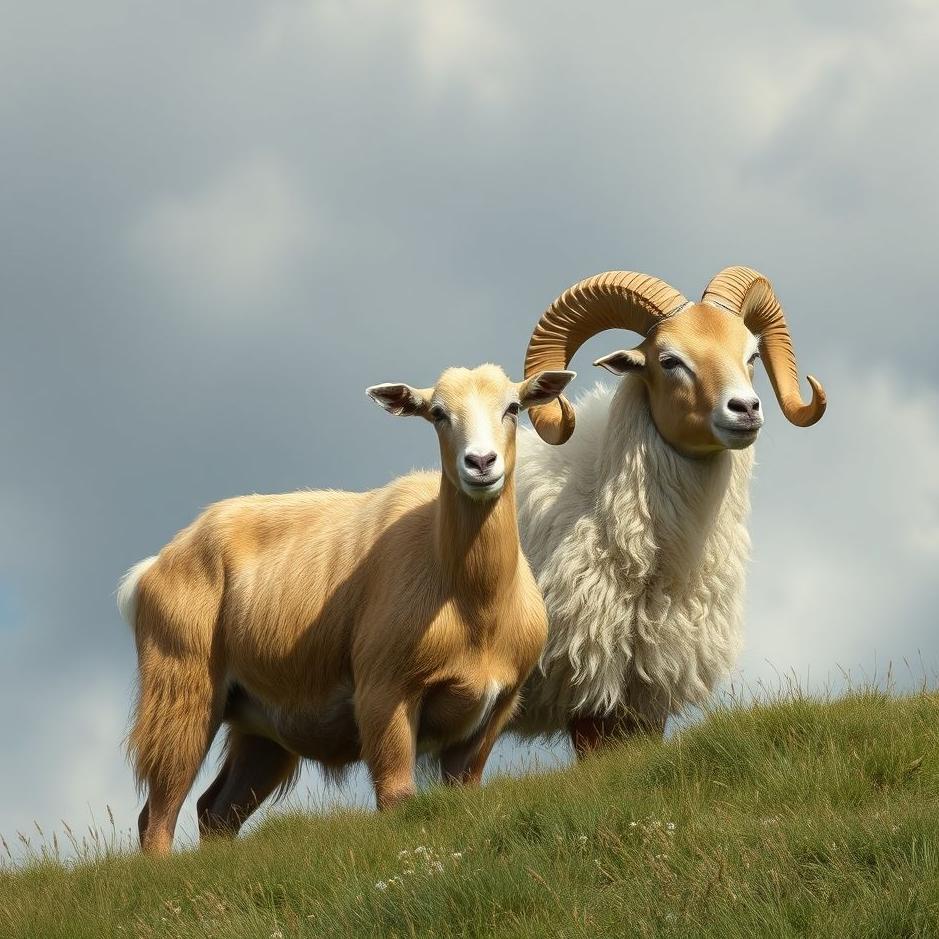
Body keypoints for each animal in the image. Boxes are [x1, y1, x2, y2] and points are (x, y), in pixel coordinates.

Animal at [117, 363, 574, 855]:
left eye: (513, 408)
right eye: (437, 414)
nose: (481, 463)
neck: (473, 605)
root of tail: (155, 565)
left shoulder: (490, 714)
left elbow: (463, 792)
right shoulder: (384, 694)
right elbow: (397, 798)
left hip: (262, 726)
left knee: (214, 810)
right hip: (181, 692)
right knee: (157, 815)